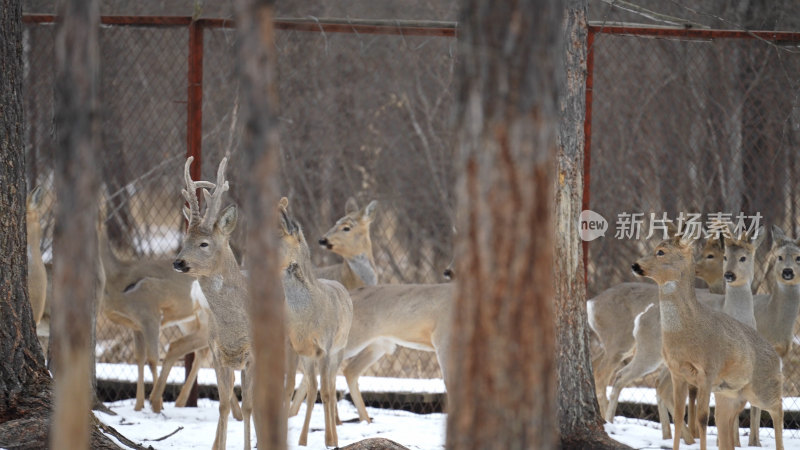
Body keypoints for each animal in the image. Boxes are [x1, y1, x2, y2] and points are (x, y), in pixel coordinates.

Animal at [278, 198, 354, 446]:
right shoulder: (292, 347)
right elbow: (289, 388)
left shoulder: (326, 348)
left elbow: (327, 392)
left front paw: (330, 440)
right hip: (308, 357)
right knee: (312, 389)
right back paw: (303, 439)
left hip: (339, 350)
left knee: (329, 387)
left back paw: (333, 436)